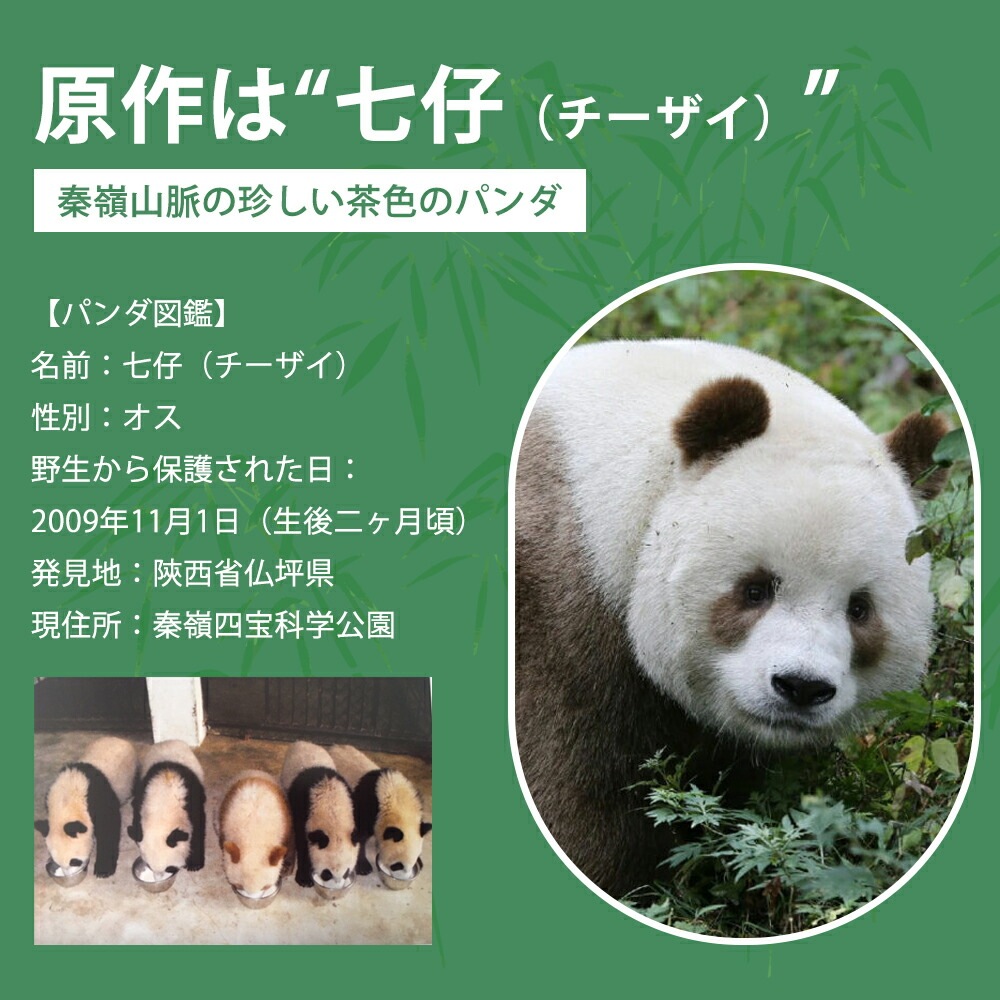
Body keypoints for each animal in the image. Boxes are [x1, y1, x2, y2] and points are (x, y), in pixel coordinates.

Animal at [34, 736, 138, 879]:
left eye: (74, 861)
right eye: (57, 862)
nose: (69, 875)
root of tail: (119, 739)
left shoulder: (98, 797)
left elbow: (109, 827)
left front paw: (103, 870)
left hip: (130, 774)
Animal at [127, 740, 206, 878]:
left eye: (170, 868)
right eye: (149, 866)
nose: (158, 877)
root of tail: (168, 741)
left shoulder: (190, 801)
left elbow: (197, 830)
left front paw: (194, 864)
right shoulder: (143, 797)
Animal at [217, 770, 292, 902]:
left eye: (265, 887)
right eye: (239, 885)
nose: (254, 899)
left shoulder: (285, 823)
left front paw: (287, 867)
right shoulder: (225, 826)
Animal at [280, 741, 358, 893]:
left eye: (346, 872)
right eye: (327, 873)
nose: (336, 887)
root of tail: (302, 742)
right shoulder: (303, 808)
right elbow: (302, 843)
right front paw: (304, 879)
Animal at [330, 744, 431, 888]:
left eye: (414, 860)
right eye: (398, 865)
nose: (404, 877)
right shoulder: (368, 806)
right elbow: (360, 835)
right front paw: (364, 867)